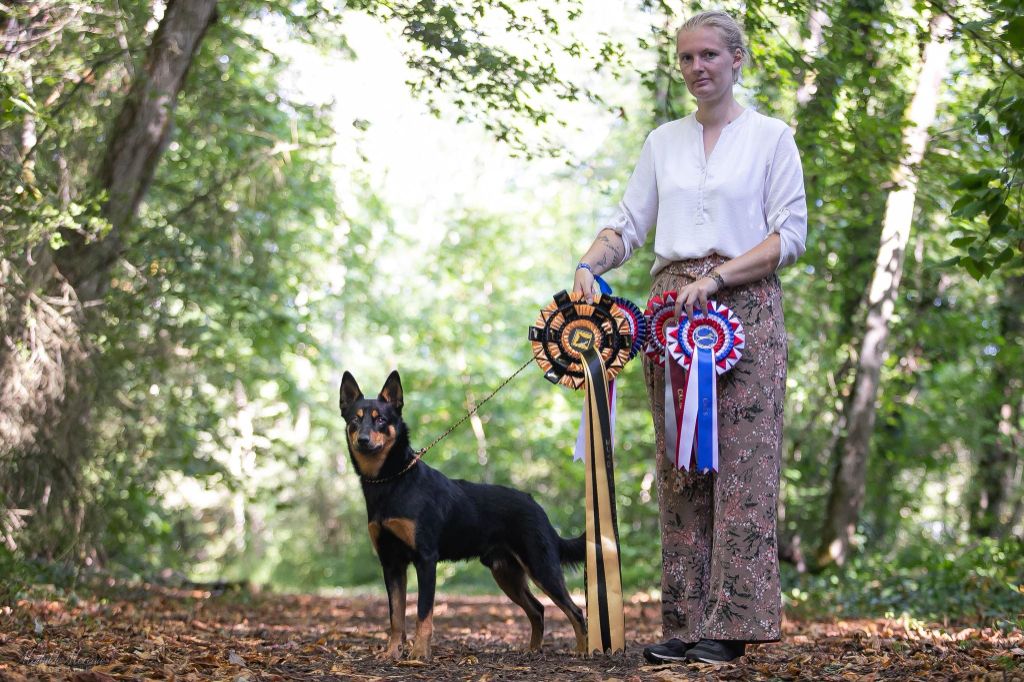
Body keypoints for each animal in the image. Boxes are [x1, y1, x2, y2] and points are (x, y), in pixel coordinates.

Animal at [339, 370, 587, 661]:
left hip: (541, 567)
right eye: (355, 420)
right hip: (507, 574)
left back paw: (583, 652)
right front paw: (392, 653)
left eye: (381, 420)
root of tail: (535, 505)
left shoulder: (425, 559)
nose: (363, 440)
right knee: (538, 609)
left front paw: (419, 654)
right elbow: (396, 617)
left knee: (575, 611)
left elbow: (423, 613)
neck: (392, 481)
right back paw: (533, 650)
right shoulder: (391, 563)